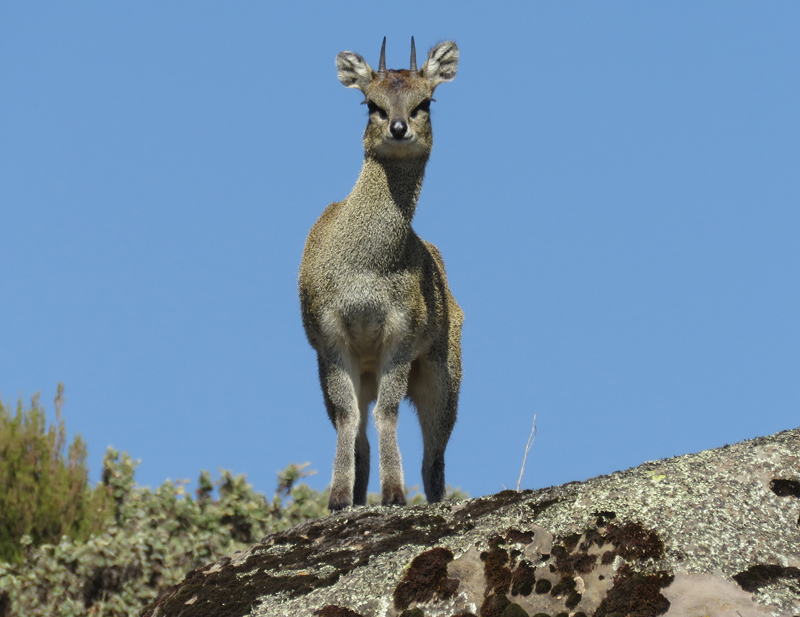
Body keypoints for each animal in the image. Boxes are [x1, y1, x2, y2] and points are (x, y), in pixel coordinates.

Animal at [300, 39, 462, 510]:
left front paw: (393, 493)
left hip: (444, 374)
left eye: (426, 102)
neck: (366, 271)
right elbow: (349, 417)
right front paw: (338, 498)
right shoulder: (328, 337)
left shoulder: (402, 334)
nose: (398, 127)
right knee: (361, 435)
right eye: (370, 103)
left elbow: (386, 413)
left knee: (435, 454)